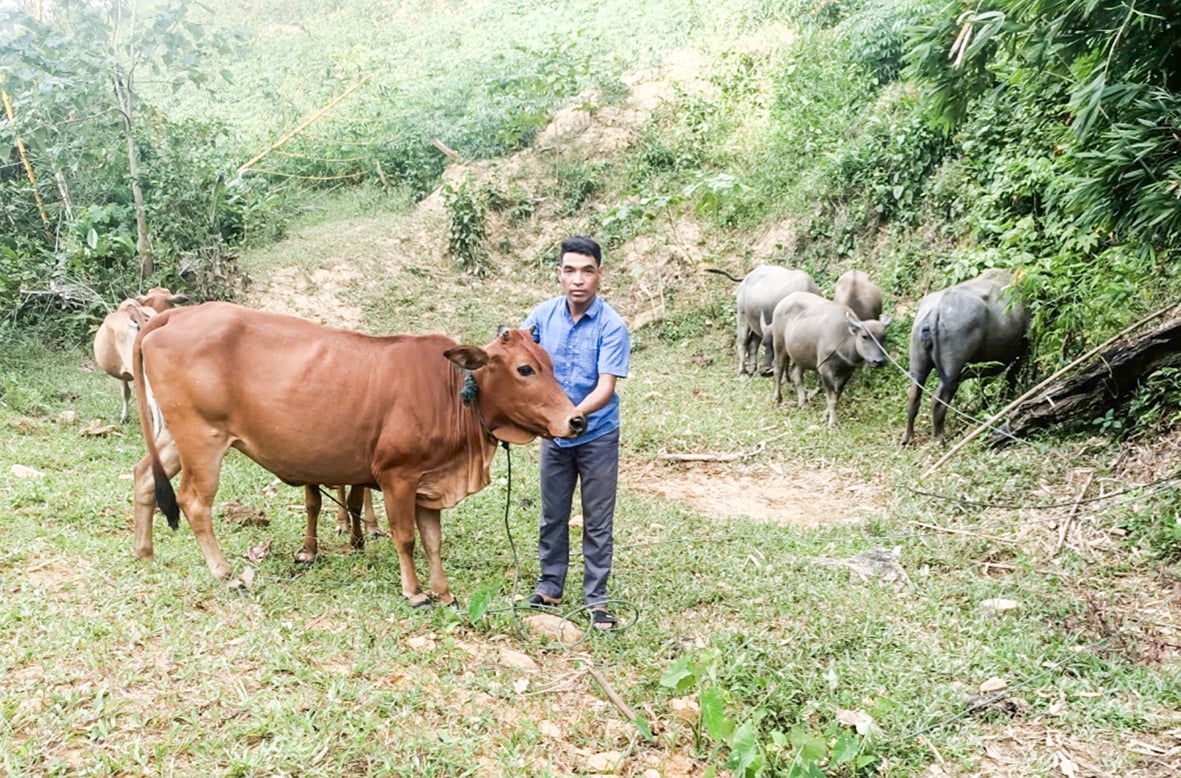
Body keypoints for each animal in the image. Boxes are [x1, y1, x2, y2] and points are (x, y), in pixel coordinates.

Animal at [130, 301, 585, 604]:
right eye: (525, 369)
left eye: (550, 363)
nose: (576, 420)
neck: (452, 390)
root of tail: (174, 315)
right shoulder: (398, 476)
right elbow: (406, 538)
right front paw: (415, 592)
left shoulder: (430, 482)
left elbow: (433, 541)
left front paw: (444, 592)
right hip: (201, 438)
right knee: (194, 502)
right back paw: (225, 573)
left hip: (174, 438)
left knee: (143, 476)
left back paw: (145, 553)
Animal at [770, 290, 888, 429]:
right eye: (864, 336)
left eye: (883, 336)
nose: (879, 361)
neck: (843, 341)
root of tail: (782, 302)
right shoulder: (825, 370)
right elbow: (831, 397)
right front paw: (832, 423)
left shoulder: (847, 372)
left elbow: (836, 396)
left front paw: (826, 415)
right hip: (779, 344)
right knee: (778, 370)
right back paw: (777, 397)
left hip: (800, 354)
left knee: (796, 374)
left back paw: (802, 402)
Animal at [902, 267, 1025, 446]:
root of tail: (935, 312)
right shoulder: (1020, 353)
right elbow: (1010, 379)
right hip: (952, 369)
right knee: (940, 398)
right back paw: (938, 438)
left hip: (918, 364)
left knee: (913, 396)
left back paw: (908, 437)